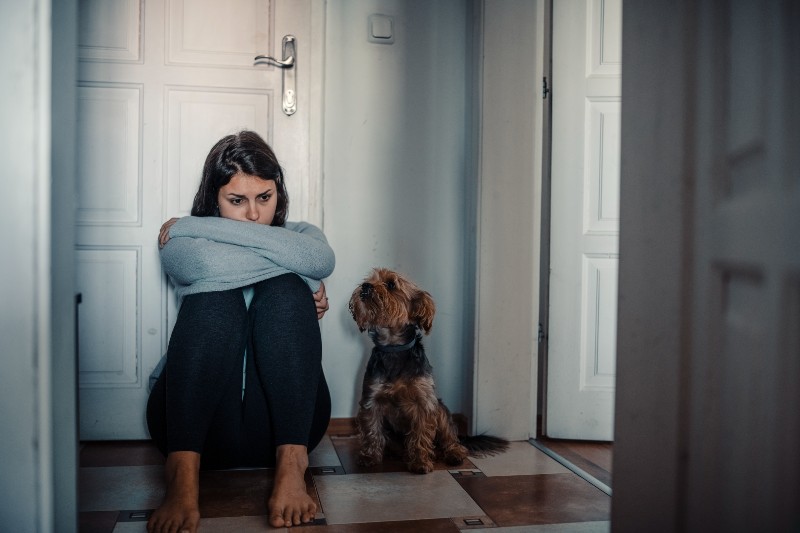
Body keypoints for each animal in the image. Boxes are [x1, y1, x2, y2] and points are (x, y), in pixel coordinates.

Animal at [348, 268, 510, 472]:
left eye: (391, 284)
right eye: (369, 279)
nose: (365, 286)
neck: (393, 348)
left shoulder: (424, 403)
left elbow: (420, 434)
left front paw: (420, 462)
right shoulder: (372, 400)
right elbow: (372, 430)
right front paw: (369, 458)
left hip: (440, 409)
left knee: (451, 440)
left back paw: (454, 454)